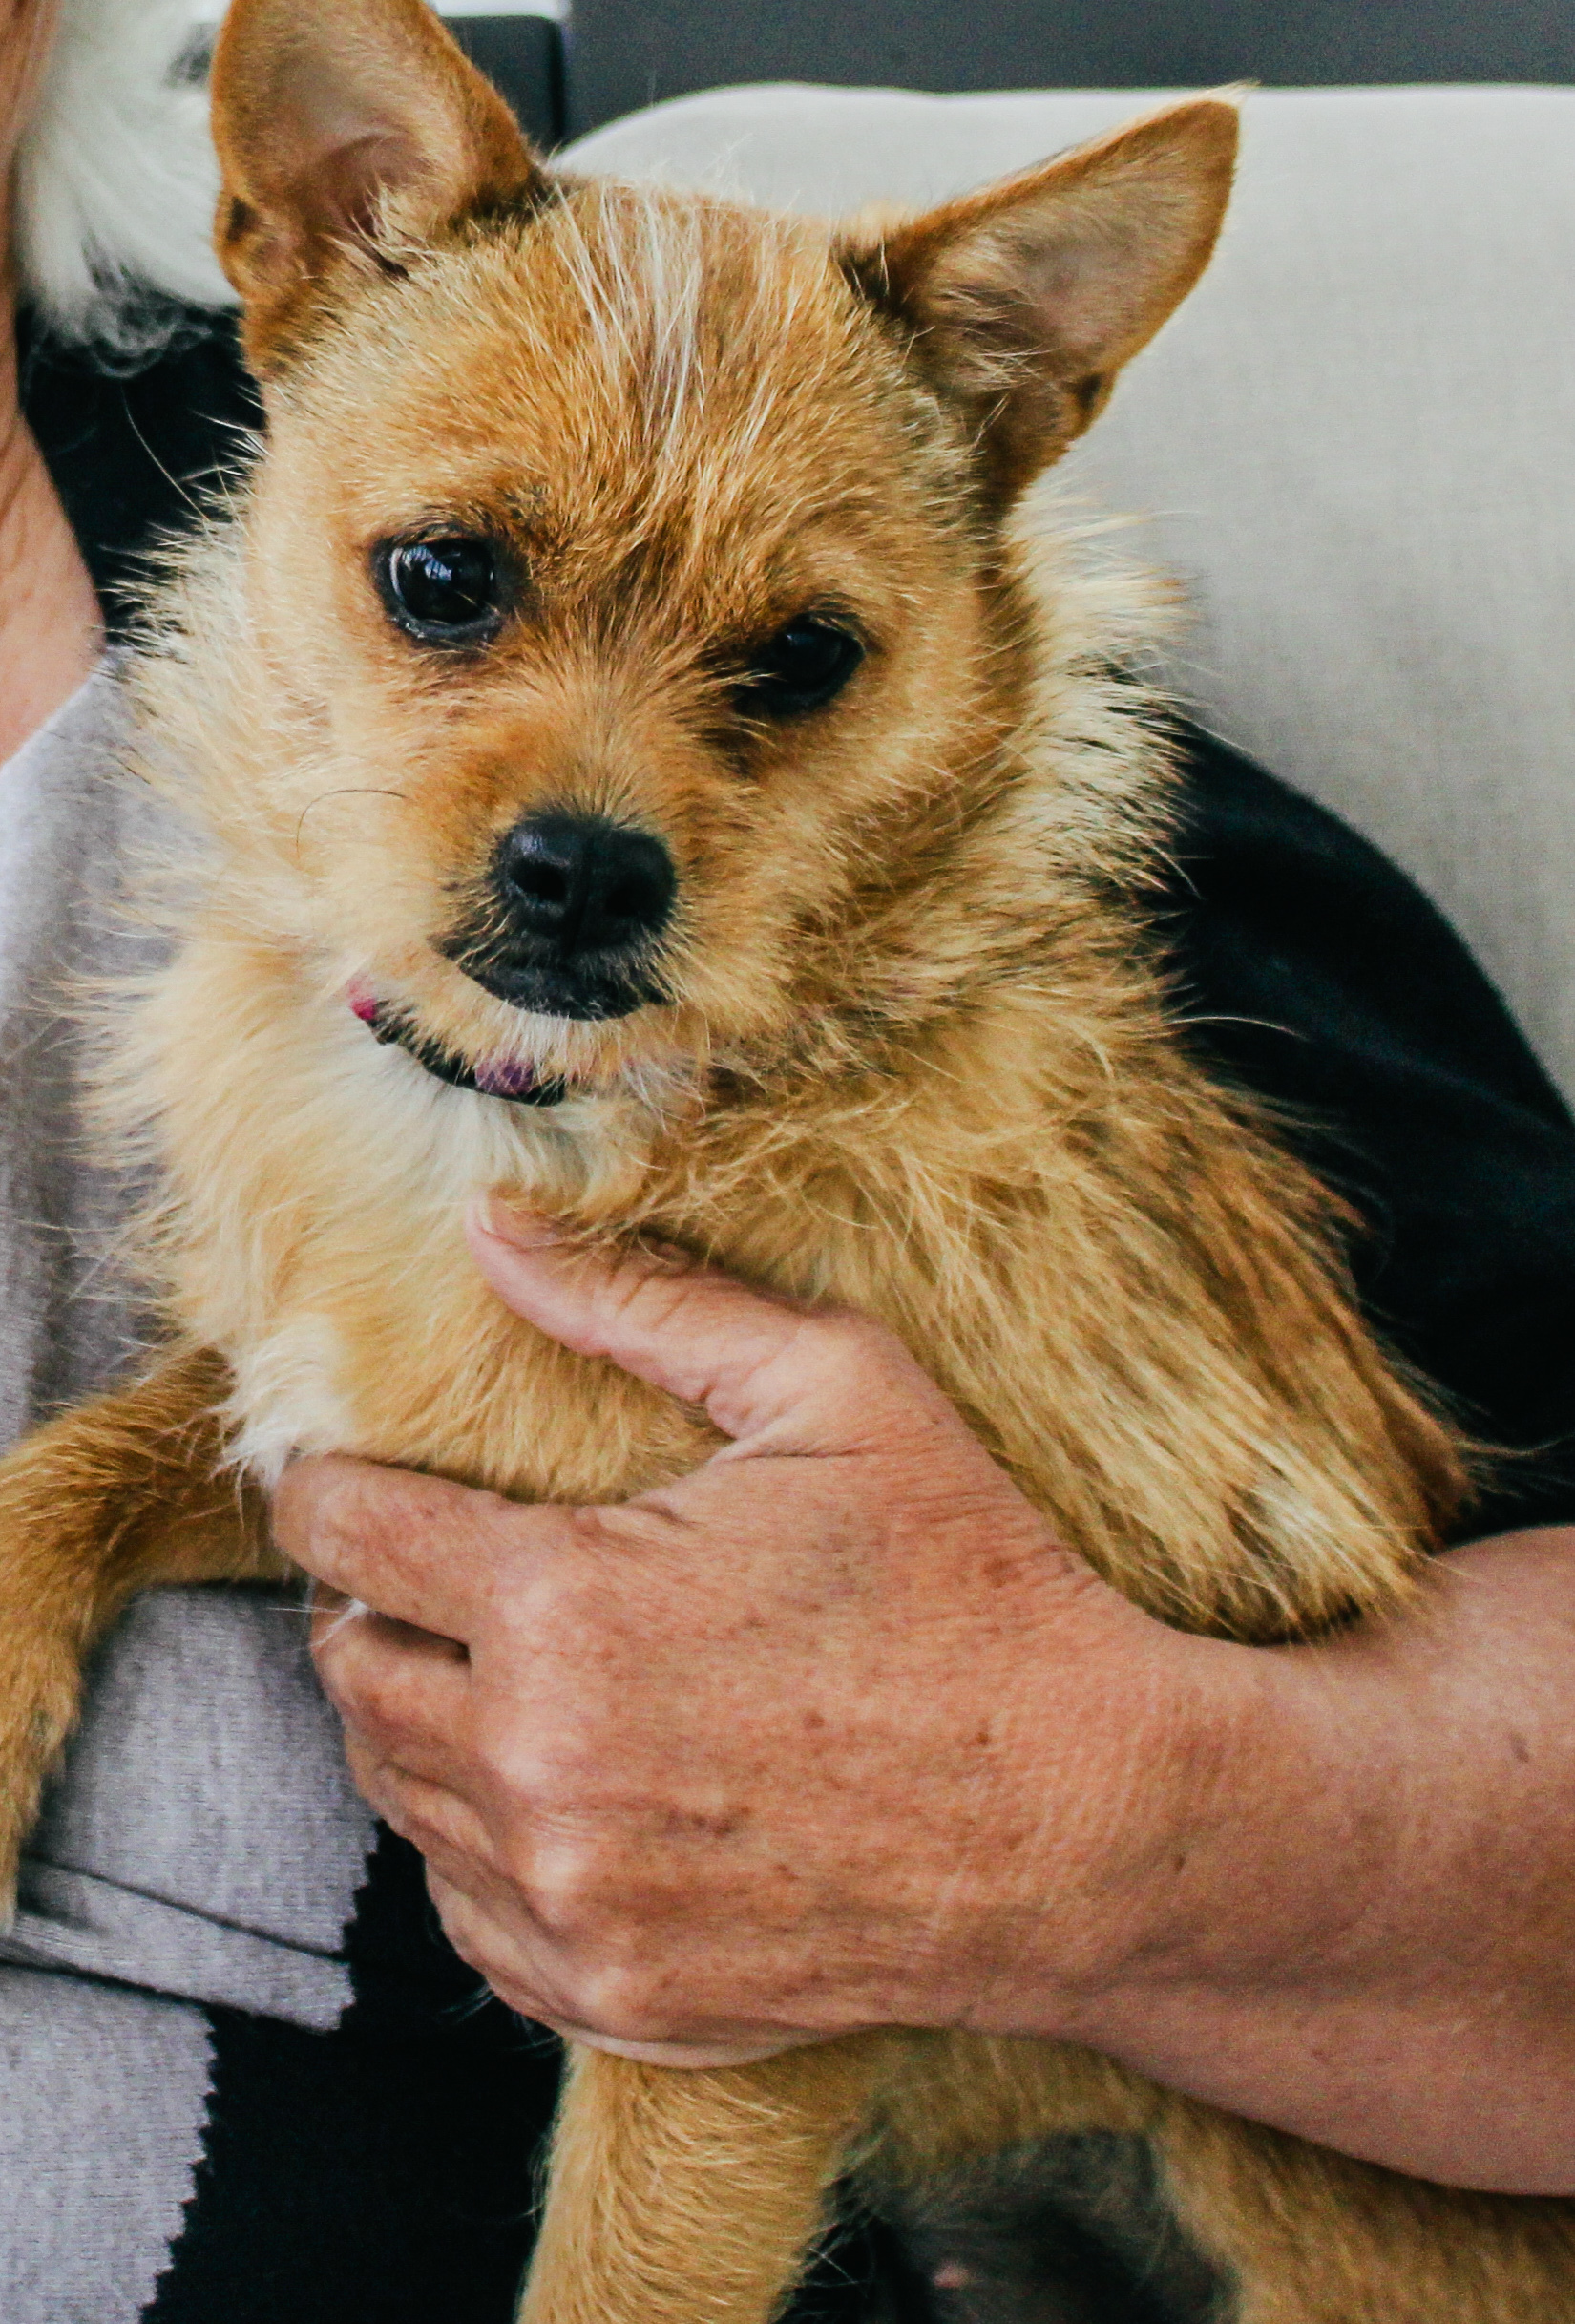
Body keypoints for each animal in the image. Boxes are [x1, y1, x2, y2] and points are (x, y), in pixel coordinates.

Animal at [3, 0, 1575, 2314]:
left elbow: (617, 2273)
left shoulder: (728, 1946)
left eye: (808, 659)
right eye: (442, 579)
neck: (536, 1109)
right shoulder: (339, 1439)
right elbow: (79, 1460)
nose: (586, 870)